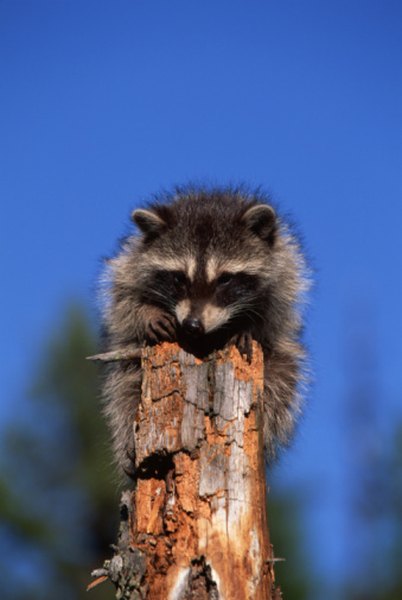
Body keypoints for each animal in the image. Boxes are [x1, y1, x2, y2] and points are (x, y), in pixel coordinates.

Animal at [102, 185, 310, 476]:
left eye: (225, 279)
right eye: (179, 278)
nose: (192, 325)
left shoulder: (286, 270)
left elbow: (274, 318)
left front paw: (248, 327)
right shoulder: (130, 262)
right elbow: (122, 301)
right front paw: (147, 314)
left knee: (281, 381)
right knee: (124, 391)